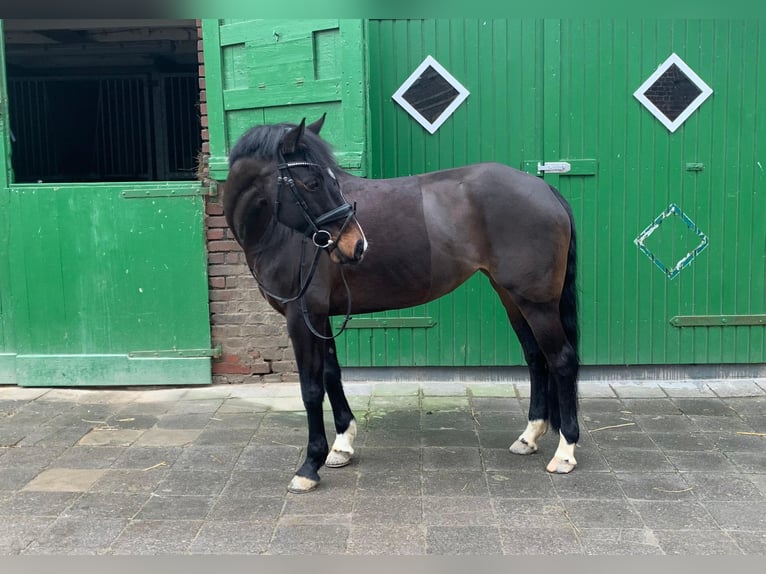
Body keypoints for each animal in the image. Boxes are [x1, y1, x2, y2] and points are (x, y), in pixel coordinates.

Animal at [225, 116, 580, 496]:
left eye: (328, 180)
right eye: (312, 182)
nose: (357, 245)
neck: (278, 233)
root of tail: (544, 189)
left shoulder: (302, 317)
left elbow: (311, 388)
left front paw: (309, 466)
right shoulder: (320, 317)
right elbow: (332, 375)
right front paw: (342, 445)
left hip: (536, 302)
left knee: (561, 360)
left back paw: (565, 452)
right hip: (511, 296)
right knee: (535, 357)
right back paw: (529, 437)